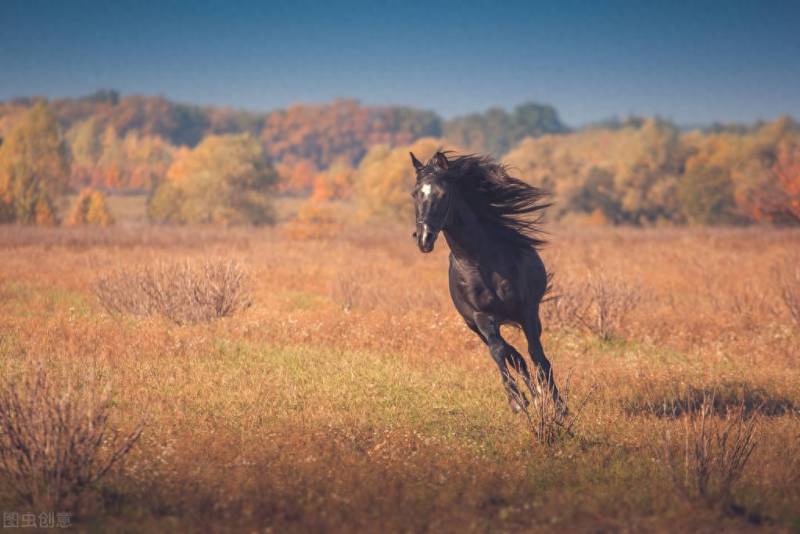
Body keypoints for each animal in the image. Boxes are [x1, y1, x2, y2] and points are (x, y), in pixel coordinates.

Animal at [410, 151, 564, 414]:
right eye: (415, 194)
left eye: (443, 194)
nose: (424, 239)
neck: (480, 261)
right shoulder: (481, 317)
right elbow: (501, 352)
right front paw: (518, 401)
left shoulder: (527, 311)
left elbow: (537, 355)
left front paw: (559, 407)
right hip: (475, 325)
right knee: (510, 355)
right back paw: (532, 396)